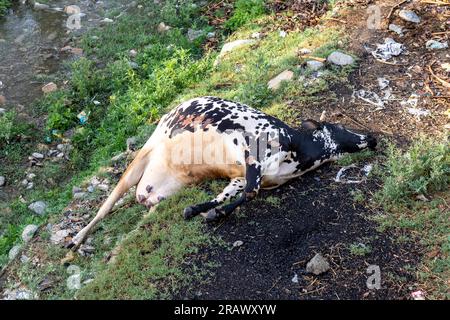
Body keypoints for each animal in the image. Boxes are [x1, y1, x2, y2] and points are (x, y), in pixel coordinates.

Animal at [67, 96, 376, 249]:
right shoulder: (253, 152)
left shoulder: (241, 176)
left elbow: (229, 195)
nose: (372, 137)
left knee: (142, 217)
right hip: (140, 159)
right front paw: (211, 214)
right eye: (340, 125)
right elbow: (250, 193)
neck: (297, 152)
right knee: (104, 209)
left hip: (160, 196)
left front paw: (201, 210)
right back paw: (76, 240)